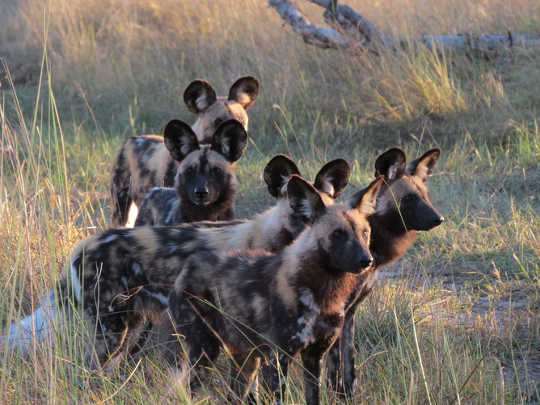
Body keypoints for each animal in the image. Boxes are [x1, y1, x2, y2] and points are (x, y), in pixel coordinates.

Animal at [166, 175, 384, 404]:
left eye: (365, 233)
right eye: (338, 234)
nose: (367, 260)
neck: (322, 292)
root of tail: (189, 264)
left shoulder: (314, 357)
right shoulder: (278, 358)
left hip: (245, 362)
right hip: (203, 353)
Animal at [324, 148, 442, 394]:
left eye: (425, 196)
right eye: (409, 199)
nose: (439, 219)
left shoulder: (350, 313)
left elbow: (349, 361)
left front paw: (348, 394)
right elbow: (334, 364)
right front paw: (335, 394)